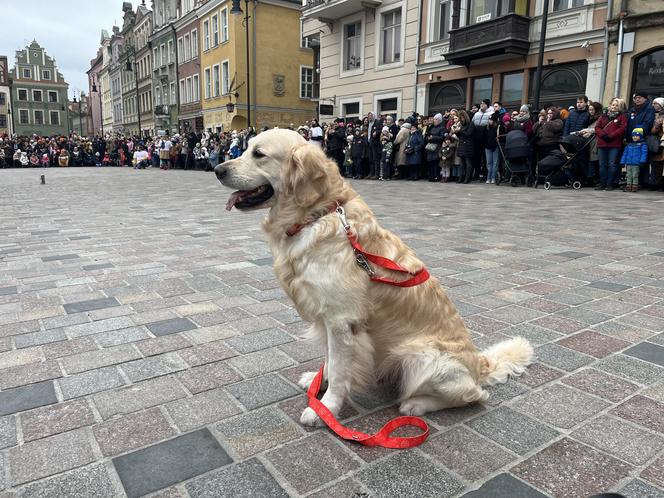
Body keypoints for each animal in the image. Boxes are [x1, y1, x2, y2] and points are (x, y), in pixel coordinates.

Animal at [218, 127, 536, 424]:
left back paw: (416, 404)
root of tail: (478, 366)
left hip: (419, 355)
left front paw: (326, 409)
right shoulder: (327, 317)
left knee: (473, 396)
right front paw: (319, 382)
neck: (316, 215)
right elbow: (329, 359)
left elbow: (339, 368)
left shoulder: (342, 320)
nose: (218, 170)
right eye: (245, 148)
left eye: (259, 154)